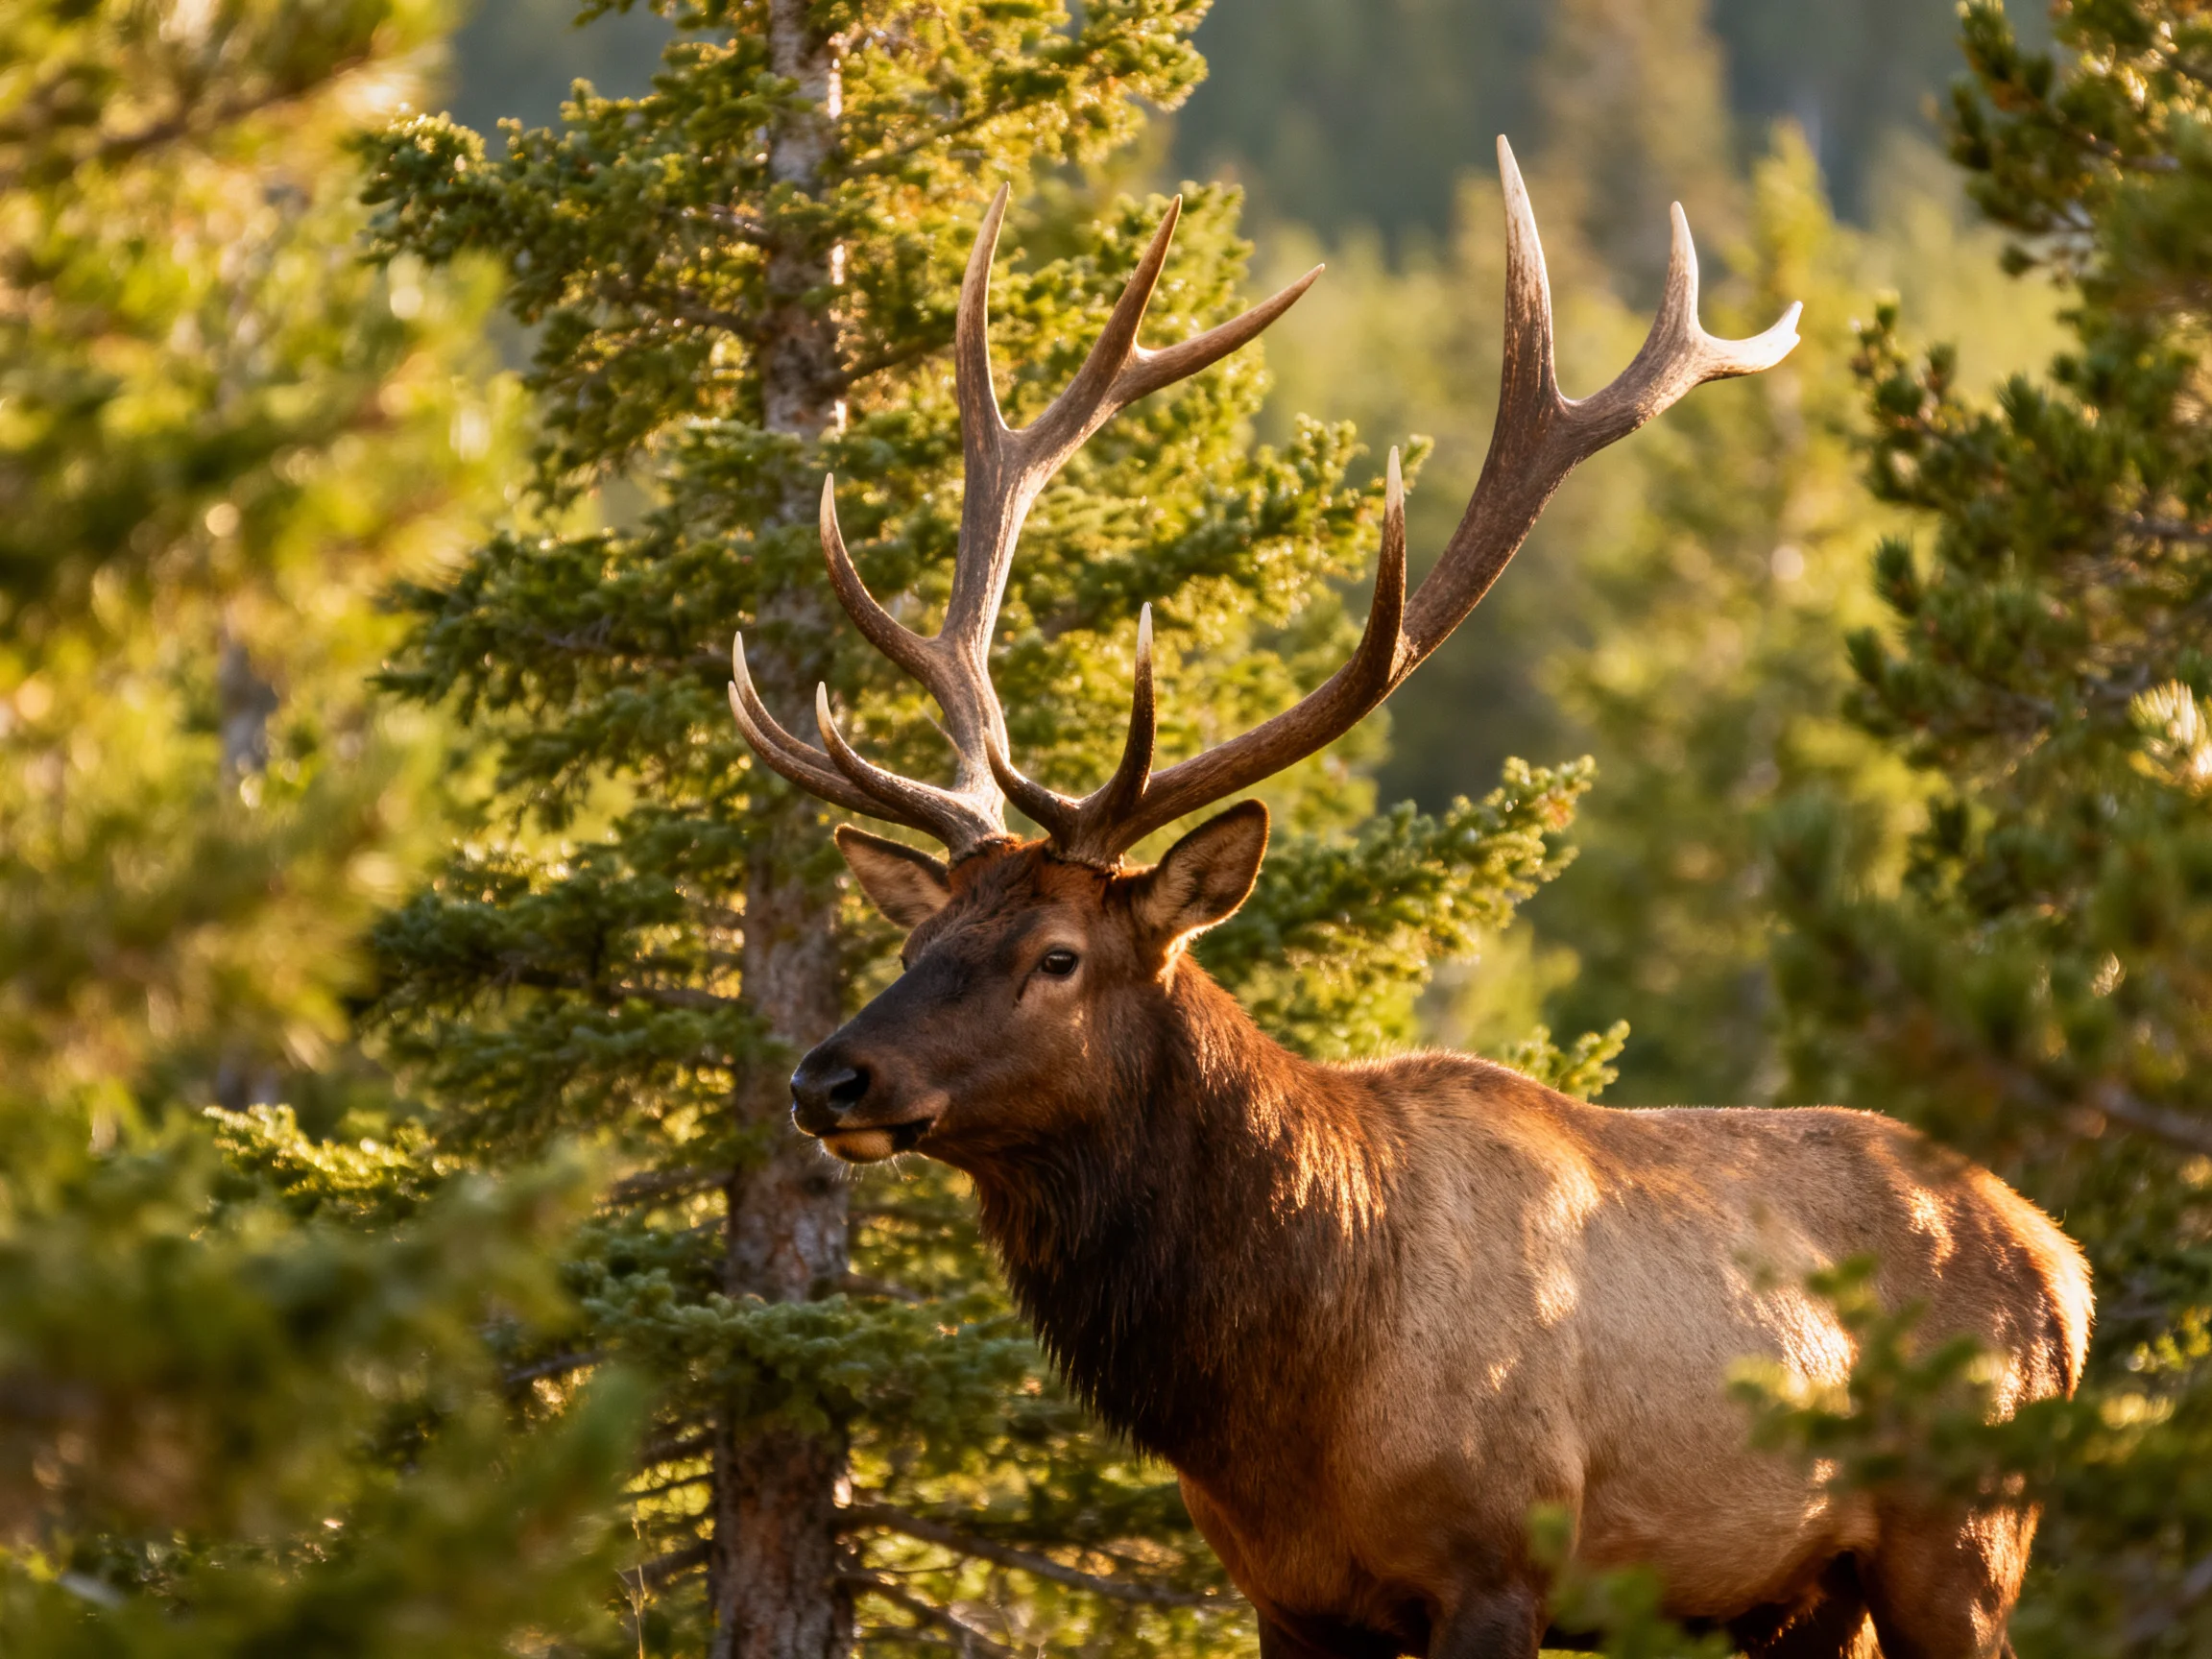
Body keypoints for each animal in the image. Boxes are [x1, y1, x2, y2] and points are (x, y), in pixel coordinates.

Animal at [724, 140, 2093, 1659]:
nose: (830, 1077)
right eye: (919, 931)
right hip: (1799, 1597)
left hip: (1960, 1544)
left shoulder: (1498, 1562)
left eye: (1057, 954)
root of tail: (2065, 1265)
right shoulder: (1287, 1593)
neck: (1282, 1390)